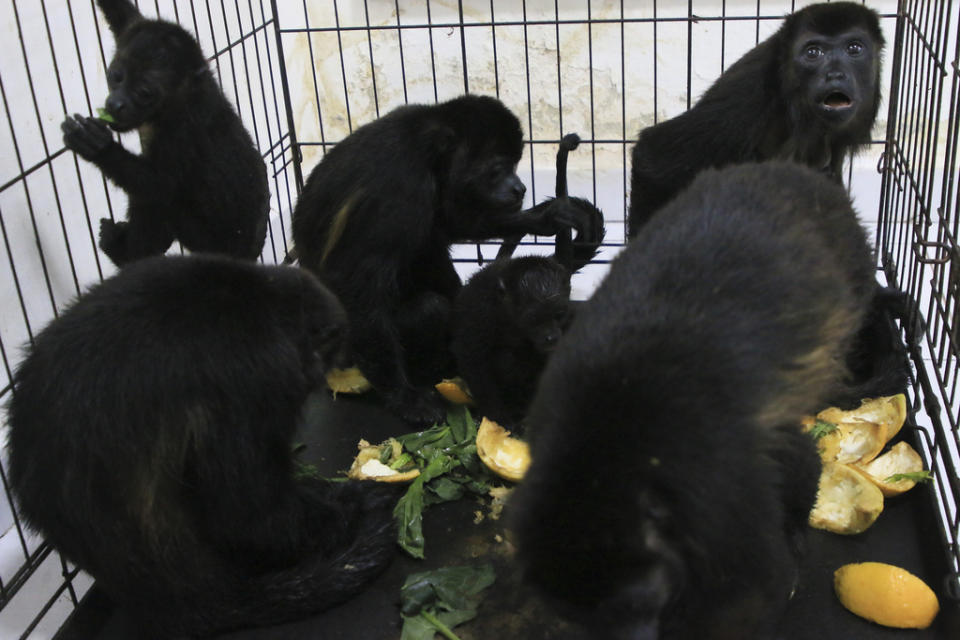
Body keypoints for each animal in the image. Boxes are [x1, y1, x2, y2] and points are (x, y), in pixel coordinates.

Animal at [60, 0, 270, 266]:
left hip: (204, 240)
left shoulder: (182, 129)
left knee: (158, 203)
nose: (115, 104)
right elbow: (120, 13)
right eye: (116, 76)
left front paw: (98, 147)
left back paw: (126, 255)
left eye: (144, 93)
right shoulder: (134, 27)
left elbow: (159, 186)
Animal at [292, 94, 584, 424]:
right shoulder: (399, 189)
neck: (427, 146)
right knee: (428, 307)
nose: (519, 187)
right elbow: (357, 288)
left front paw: (542, 218)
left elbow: (448, 222)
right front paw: (406, 399)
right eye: (498, 169)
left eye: (515, 164)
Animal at [452, 132, 604, 428]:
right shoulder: (479, 314)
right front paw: (500, 418)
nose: (550, 336)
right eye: (533, 319)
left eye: (558, 315)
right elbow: (473, 361)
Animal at [512, 162, 896, 640]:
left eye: (641, 601)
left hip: (853, 258)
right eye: (576, 616)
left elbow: (754, 591)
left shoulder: (718, 485)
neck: (608, 452)